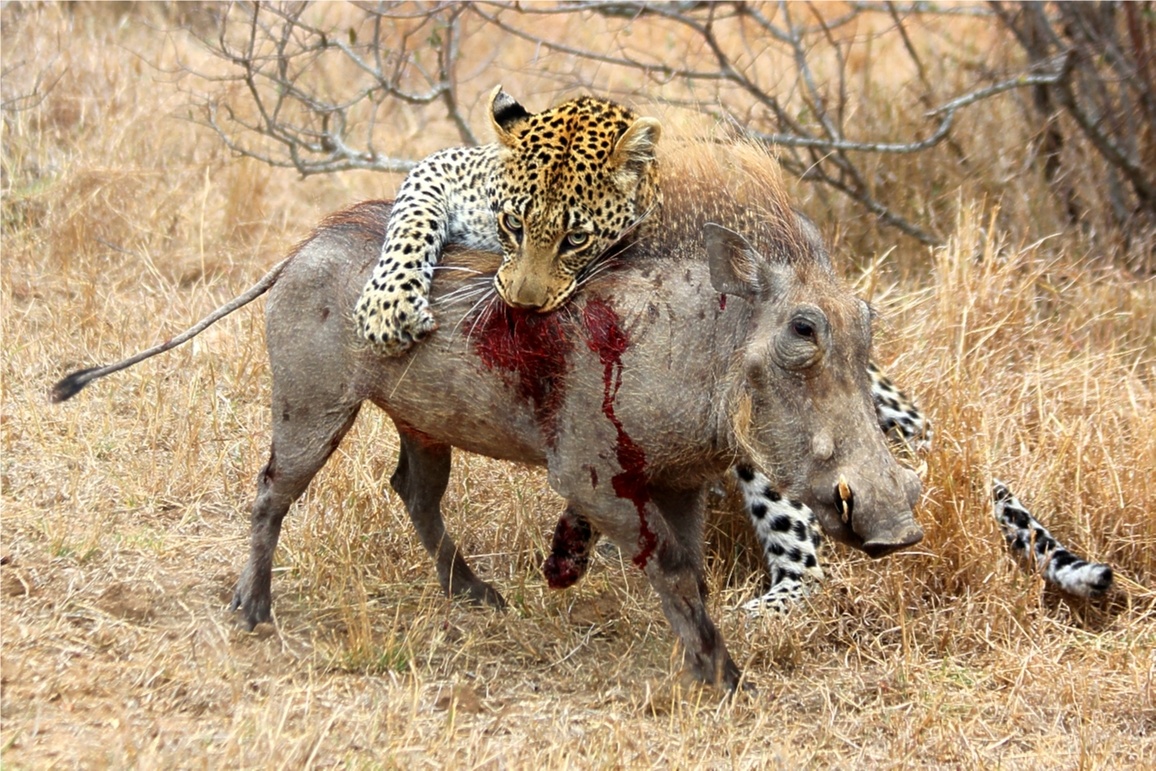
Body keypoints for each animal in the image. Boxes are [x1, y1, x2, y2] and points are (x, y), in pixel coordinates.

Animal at [351, 86, 661, 358]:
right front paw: (388, 308)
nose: (522, 305)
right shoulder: (446, 166)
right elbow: (412, 220)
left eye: (577, 238)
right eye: (513, 222)